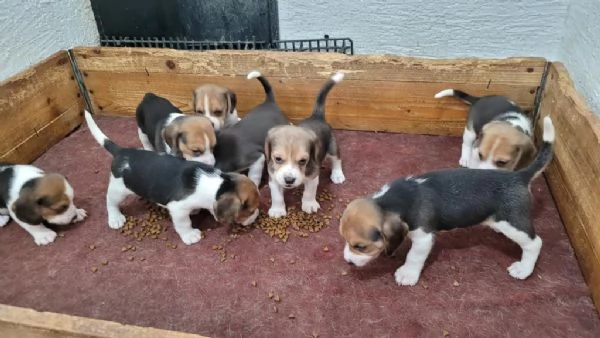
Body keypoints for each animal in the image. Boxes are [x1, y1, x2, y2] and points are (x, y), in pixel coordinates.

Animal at [85, 111, 260, 246]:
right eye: (250, 210)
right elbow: (184, 223)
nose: (257, 216)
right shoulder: (178, 209)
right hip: (119, 188)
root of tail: (122, 152)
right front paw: (190, 235)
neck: (219, 185)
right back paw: (115, 218)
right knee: (110, 201)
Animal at [264, 72, 344, 218]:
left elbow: (309, 192)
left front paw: (309, 204)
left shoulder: (313, 175)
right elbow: (276, 195)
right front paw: (277, 209)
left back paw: (337, 175)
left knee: (337, 159)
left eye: (303, 161)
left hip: (332, 147)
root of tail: (316, 116)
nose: (289, 180)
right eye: (278, 159)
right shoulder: (273, 176)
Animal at [340, 116, 556, 286]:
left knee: (534, 243)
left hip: (512, 223)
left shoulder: (424, 237)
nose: (348, 261)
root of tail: (519, 176)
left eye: (361, 247)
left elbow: (414, 256)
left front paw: (407, 274)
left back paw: (524, 269)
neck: (392, 200)